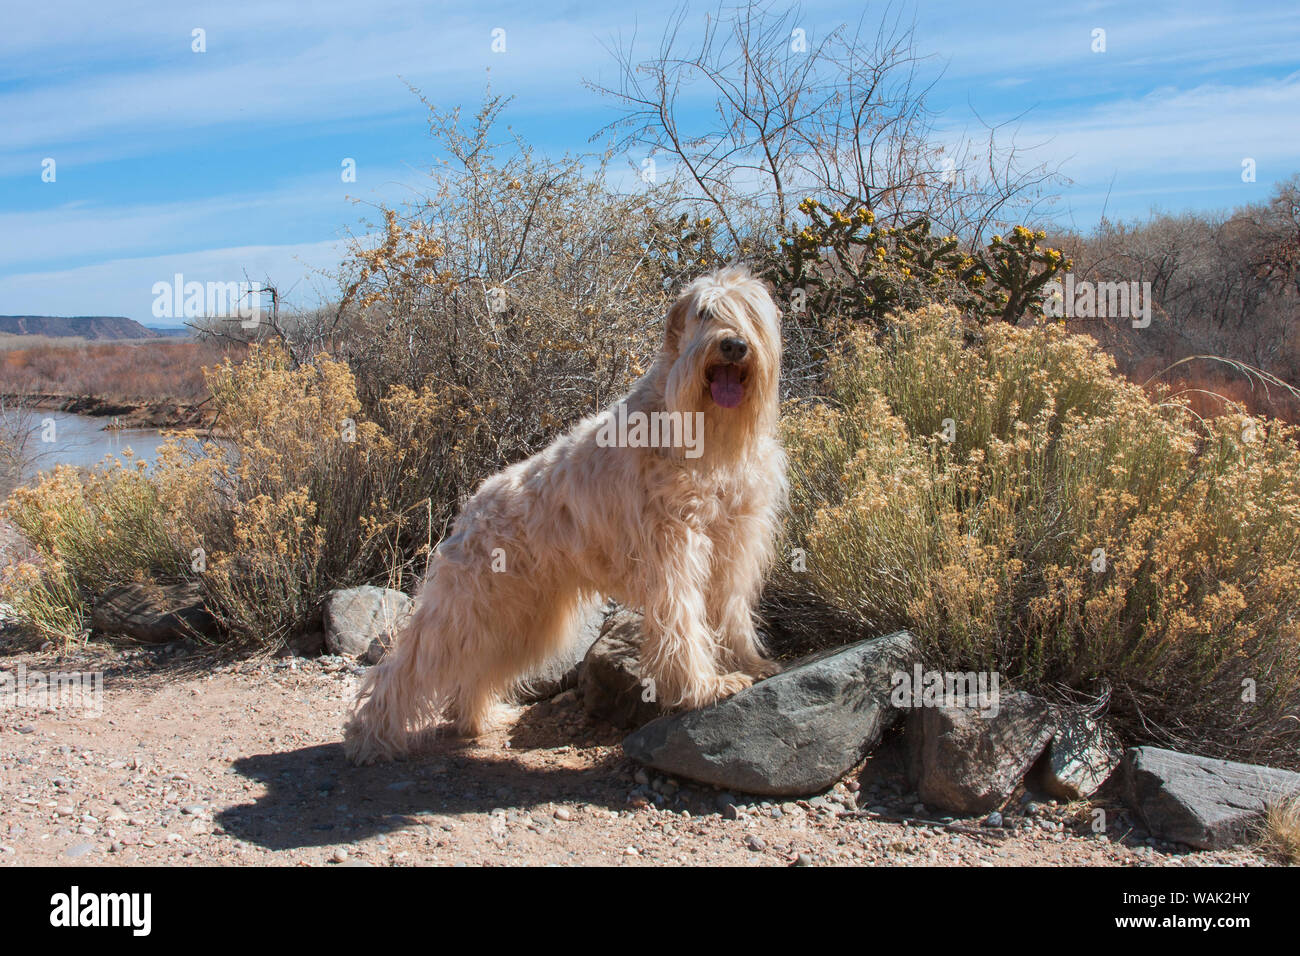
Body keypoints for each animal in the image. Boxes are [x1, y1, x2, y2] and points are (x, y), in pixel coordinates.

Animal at [343, 261, 780, 764]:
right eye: (706, 312)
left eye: (751, 312)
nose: (733, 346)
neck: (702, 430)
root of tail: (470, 507)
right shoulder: (674, 551)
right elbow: (684, 622)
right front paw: (704, 687)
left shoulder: (734, 544)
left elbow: (731, 613)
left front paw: (749, 663)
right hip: (463, 609)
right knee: (403, 668)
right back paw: (369, 738)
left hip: (518, 617)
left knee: (474, 673)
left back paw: (479, 719)